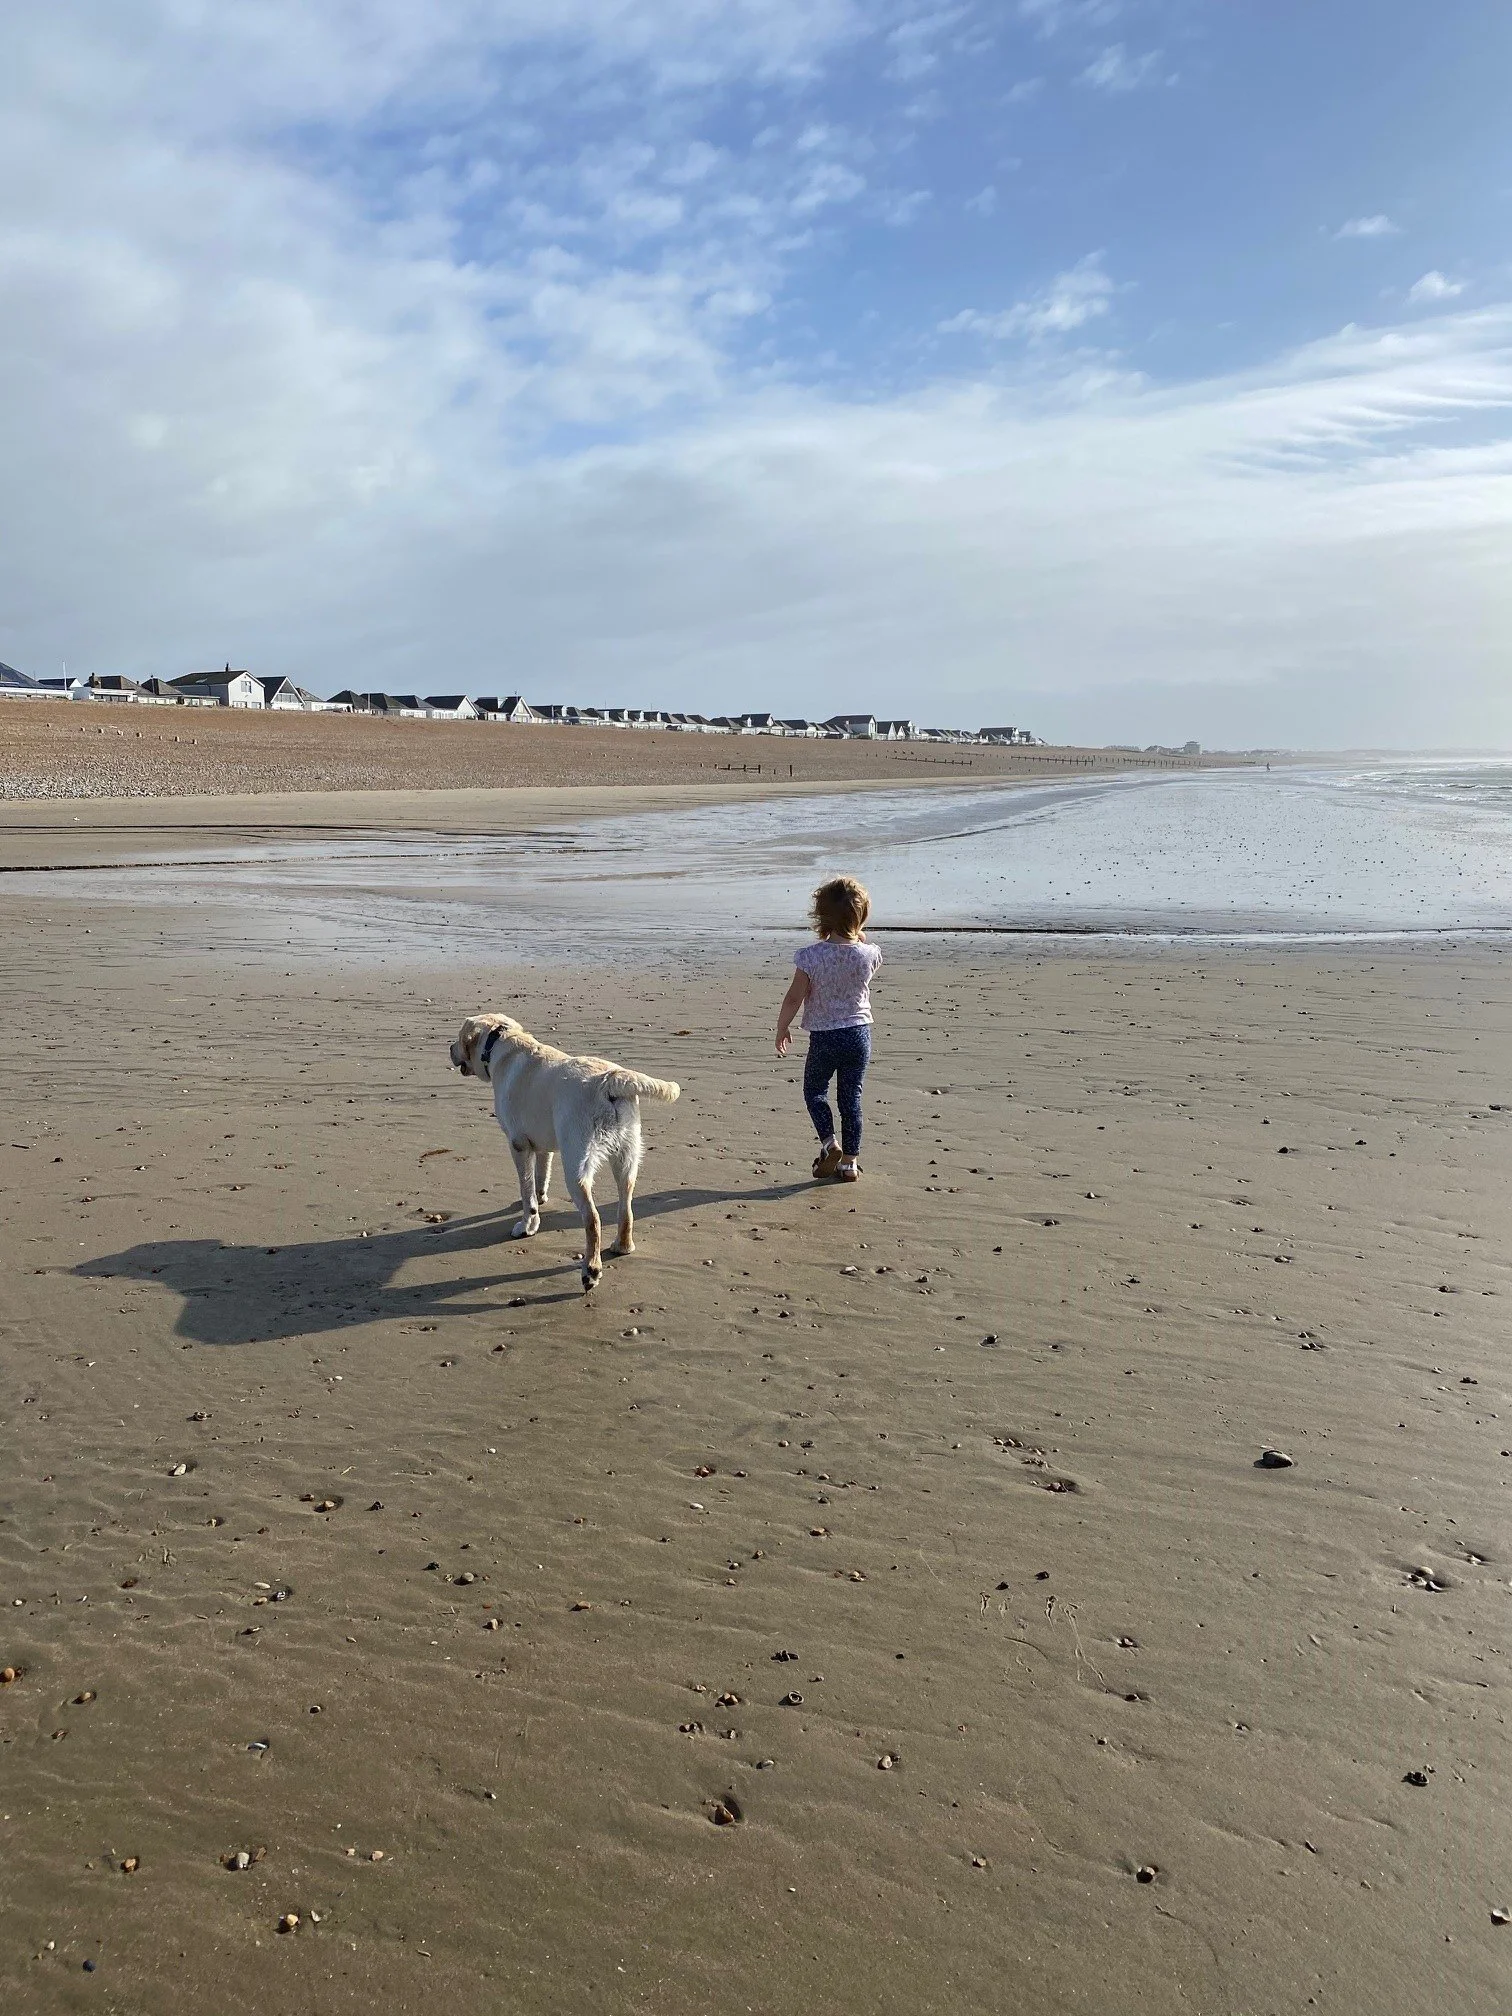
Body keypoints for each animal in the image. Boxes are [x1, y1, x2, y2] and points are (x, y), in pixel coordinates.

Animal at [449, 1013, 680, 1290]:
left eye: (459, 1039)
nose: (449, 1049)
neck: (500, 1042)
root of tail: (609, 1080)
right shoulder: (542, 1145)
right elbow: (540, 1177)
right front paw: (541, 1197)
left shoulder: (518, 1145)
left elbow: (526, 1191)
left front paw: (527, 1225)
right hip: (627, 1154)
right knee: (626, 1205)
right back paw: (622, 1245)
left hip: (576, 1163)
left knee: (592, 1219)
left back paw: (590, 1270)